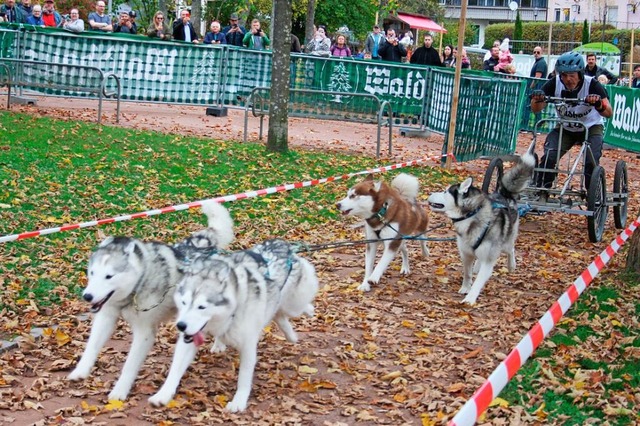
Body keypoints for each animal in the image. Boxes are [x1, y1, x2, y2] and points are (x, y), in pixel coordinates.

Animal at [69, 201, 234, 402]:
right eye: (92, 273)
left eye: (109, 276)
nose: (87, 296)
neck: (139, 281)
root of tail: (207, 247)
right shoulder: (106, 317)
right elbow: (91, 347)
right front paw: (81, 371)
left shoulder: (144, 332)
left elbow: (129, 366)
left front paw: (119, 391)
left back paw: (219, 344)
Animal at [150, 238, 320, 412]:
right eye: (184, 303)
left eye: (201, 307)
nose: (181, 326)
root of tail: (280, 243)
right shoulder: (190, 339)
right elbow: (175, 370)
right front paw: (163, 394)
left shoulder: (247, 346)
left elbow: (244, 379)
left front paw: (239, 402)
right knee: (278, 313)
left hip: (293, 305)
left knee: (295, 306)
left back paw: (307, 313)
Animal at [428, 148, 536, 304]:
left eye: (445, 192)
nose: (430, 193)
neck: (471, 215)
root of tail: (504, 193)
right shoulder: (466, 253)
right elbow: (467, 273)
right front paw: (465, 287)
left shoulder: (488, 260)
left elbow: (478, 282)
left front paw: (470, 298)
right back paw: (477, 266)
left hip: (506, 241)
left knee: (510, 249)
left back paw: (511, 265)